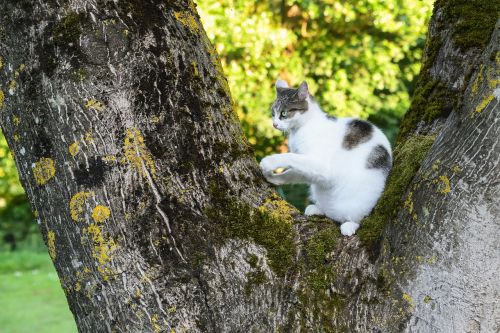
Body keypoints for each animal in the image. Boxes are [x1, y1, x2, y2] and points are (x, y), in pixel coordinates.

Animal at [260, 80, 392, 236]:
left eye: (283, 113)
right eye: (273, 113)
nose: (274, 124)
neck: (303, 127)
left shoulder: (320, 165)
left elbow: (290, 157)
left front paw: (269, 162)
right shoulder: (311, 169)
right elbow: (293, 173)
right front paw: (275, 178)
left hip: (358, 201)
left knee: (356, 216)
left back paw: (349, 225)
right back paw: (318, 209)